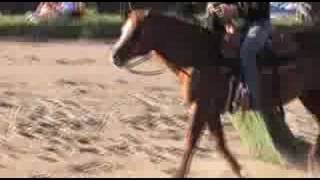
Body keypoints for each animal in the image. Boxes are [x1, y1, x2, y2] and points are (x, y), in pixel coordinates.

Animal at [110, 9, 320, 177]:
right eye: (123, 28)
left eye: (137, 31)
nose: (115, 56)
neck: (198, 55)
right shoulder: (209, 109)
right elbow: (220, 144)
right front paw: (240, 171)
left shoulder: (201, 106)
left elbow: (191, 142)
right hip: (308, 95)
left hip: (312, 96)